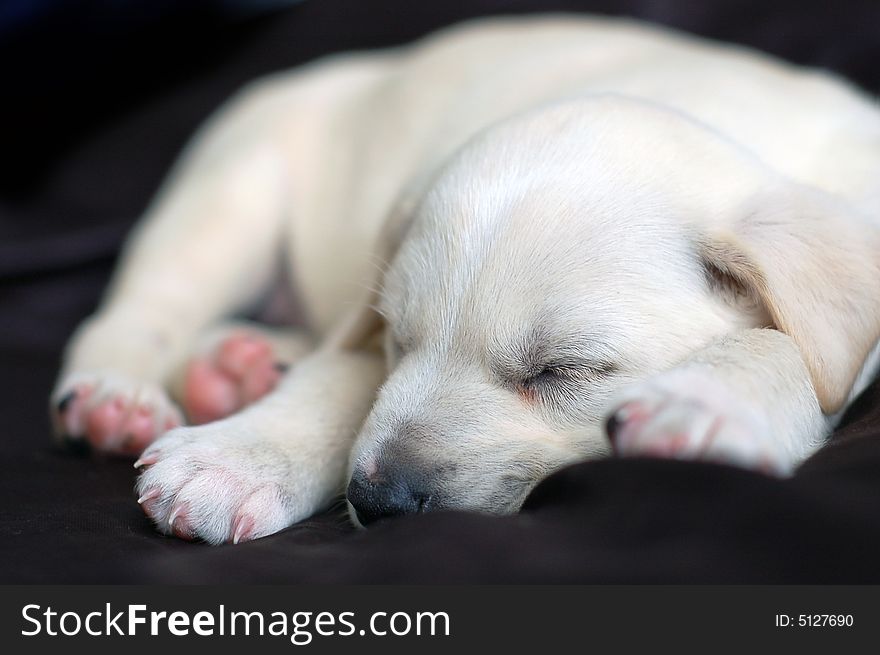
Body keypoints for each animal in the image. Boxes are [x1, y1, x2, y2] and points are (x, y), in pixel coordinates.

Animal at [49, 14, 880, 544]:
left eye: (562, 370)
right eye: (400, 339)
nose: (377, 498)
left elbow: (793, 348)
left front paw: (706, 402)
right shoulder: (361, 332)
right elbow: (338, 382)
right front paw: (235, 459)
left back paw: (238, 367)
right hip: (231, 192)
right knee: (142, 310)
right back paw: (122, 399)